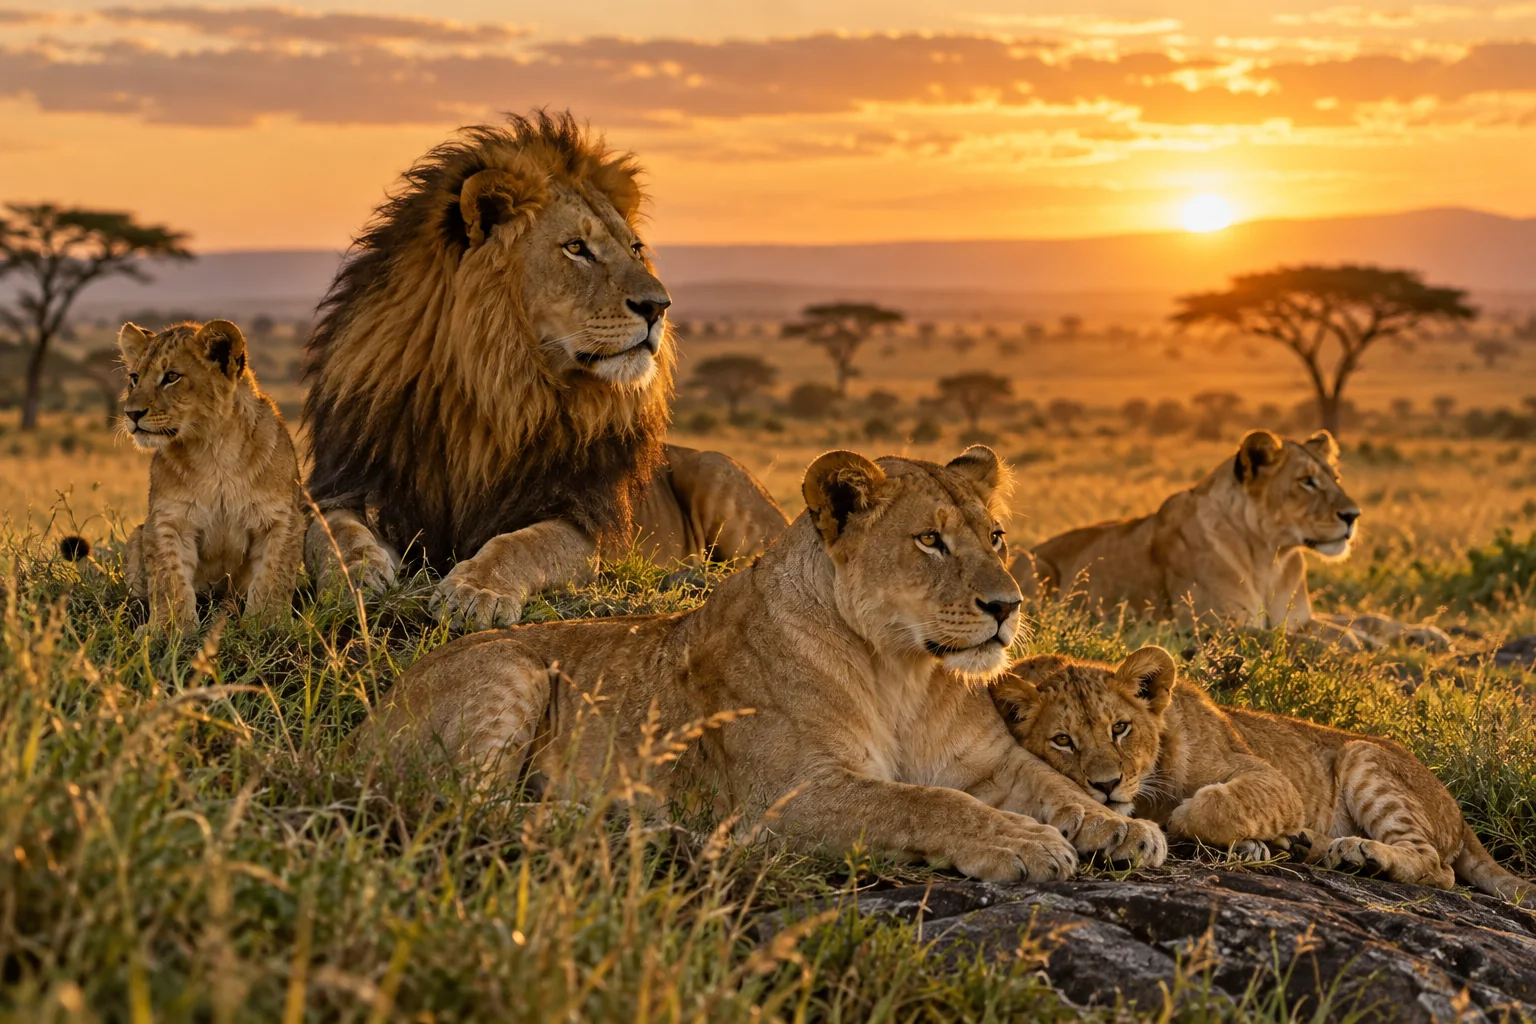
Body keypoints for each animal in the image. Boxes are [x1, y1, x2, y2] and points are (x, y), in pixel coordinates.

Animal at [119, 319, 305, 631]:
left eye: (171, 377)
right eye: (134, 378)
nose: (130, 414)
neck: (213, 450)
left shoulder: (281, 517)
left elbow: (273, 576)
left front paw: (268, 624)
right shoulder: (168, 520)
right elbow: (169, 578)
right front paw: (172, 629)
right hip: (137, 534)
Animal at [301, 111, 787, 627]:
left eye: (635, 248)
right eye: (576, 247)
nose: (660, 306)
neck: (495, 391)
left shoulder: (580, 520)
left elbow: (519, 545)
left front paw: (476, 591)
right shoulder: (354, 486)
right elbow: (333, 534)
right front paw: (356, 578)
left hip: (719, 475)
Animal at [353, 447, 1167, 881]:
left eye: (995, 535)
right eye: (930, 540)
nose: (1007, 604)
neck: (903, 672)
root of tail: (372, 712)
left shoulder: (988, 761)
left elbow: (1052, 785)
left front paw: (1120, 828)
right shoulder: (790, 794)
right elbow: (925, 803)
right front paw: (1021, 843)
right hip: (513, 670)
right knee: (466, 807)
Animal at [991, 647, 1531, 901]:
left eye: (1120, 728)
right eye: (1063, 741)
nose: (1104, 786)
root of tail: (1459, 814)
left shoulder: (1275, 782)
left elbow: (1211, 803)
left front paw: (1181, 819)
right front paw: (1259, 843)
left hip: (1362, 755)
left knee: (1438, 869)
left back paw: (1361, 856)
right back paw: (1309, 845)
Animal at [1010, 429, 1448, 650]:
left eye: (1335, 478)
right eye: (1306, 482)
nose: (1353, 516)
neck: (1271, 556)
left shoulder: (1299, 616)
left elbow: (1362, 618)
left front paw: (1427, 635)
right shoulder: (1210, 625)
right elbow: (1289, 639)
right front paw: (1355, 644)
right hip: (1035, 568)